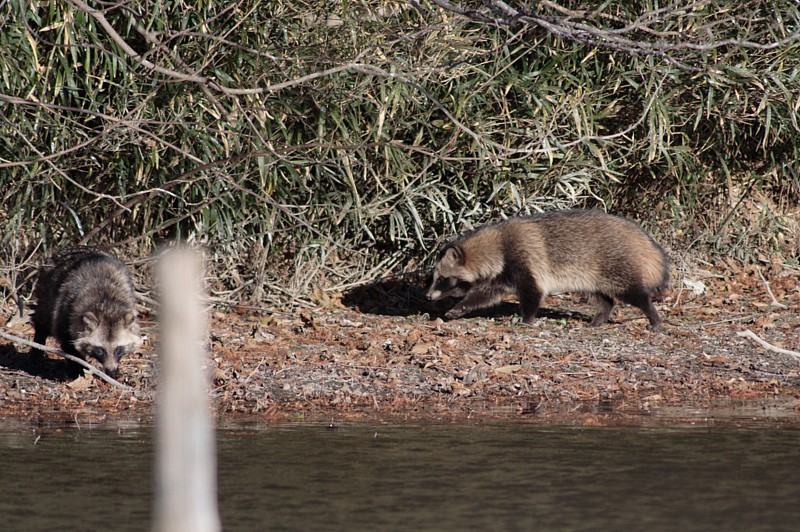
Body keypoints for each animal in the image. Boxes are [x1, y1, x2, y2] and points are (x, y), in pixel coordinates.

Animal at [31, 246, 142, 374]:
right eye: (100, 350)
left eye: (118, 349)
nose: (110, 370)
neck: (107, 304)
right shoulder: (66, 312)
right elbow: (68, 342)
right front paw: (76, 368)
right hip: (46, 291)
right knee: (43, 321)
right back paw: (37, 347)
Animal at [424, 210, 668, 330]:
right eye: (434, 278)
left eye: (442, 279)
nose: (427, 296)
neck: (497, 244)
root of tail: (636, 233)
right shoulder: (499, 275)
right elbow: (484, 295)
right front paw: (460, 307)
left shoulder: (524, 259)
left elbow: (533, 293)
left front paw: (528, 319)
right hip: (588, 275)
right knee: (602, 298)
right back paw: (600, 316)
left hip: (616, 265)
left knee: (634, 293)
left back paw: (652, 316)